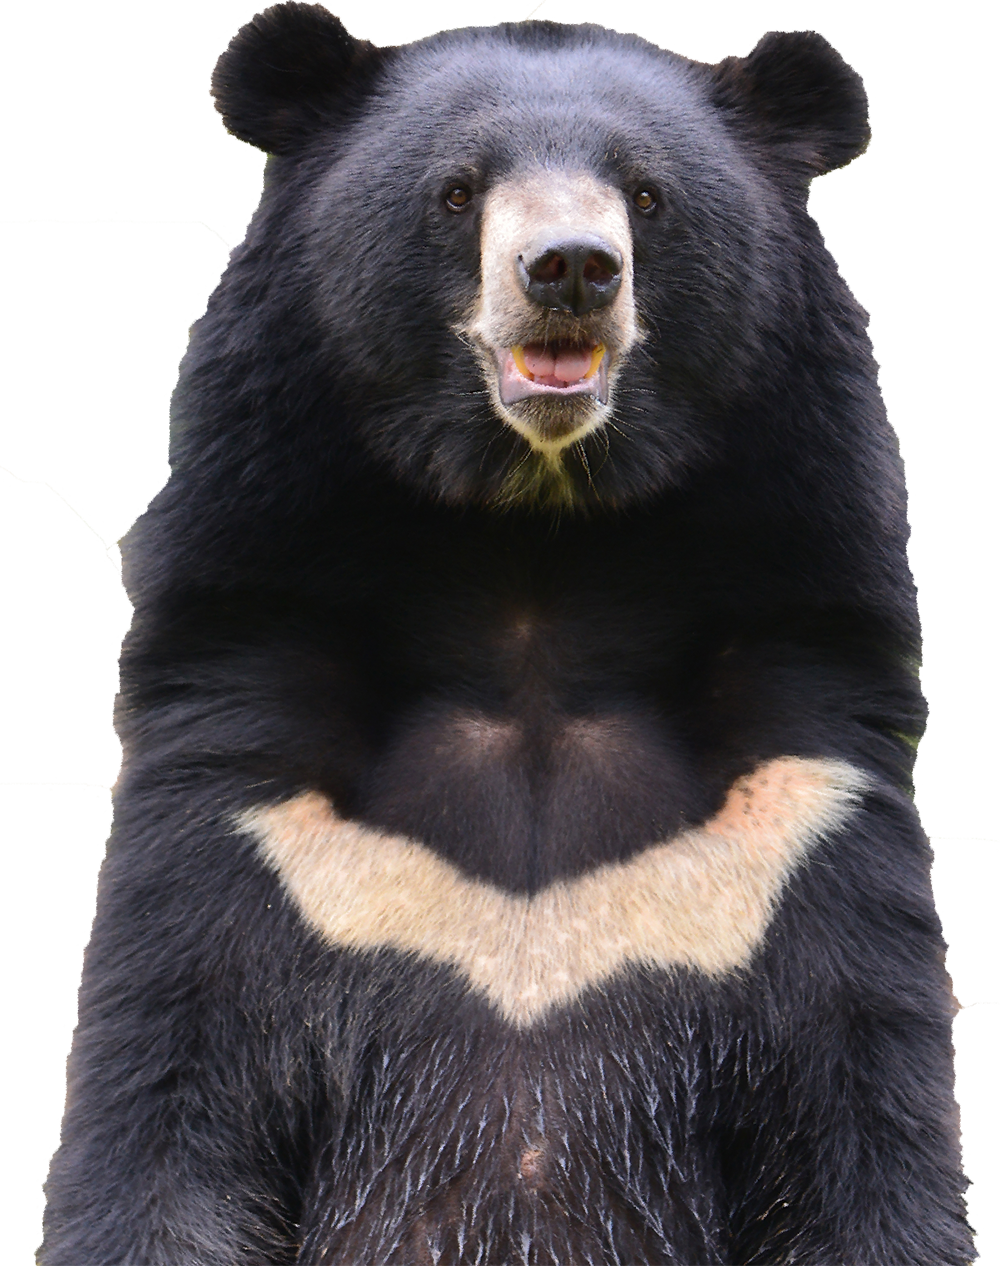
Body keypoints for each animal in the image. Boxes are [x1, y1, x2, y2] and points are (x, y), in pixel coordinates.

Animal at [40, 5, 974, 1265]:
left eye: (646, 194)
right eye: (455, 190)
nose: (569, 269)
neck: (536, 556)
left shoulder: (795, 822)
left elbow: (861, 1136)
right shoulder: (249, 814)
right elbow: (167, 1105)